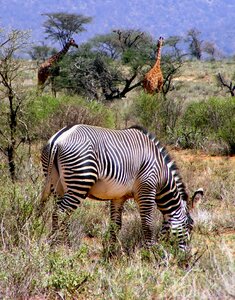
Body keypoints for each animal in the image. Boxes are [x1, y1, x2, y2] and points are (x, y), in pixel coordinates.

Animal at [38, 123, 202, 251]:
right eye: (190, 226)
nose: (186, 258)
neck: (161, 174)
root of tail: (58, 139)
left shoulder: (118, 197)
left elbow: (115, 225)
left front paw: (111, 253)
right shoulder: (147, 191)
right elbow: (147, 224)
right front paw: (150, 254)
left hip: (57, 186)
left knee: (61, 214)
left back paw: (64, 245)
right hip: (80, 182)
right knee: (60, 213)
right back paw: (58, 246)